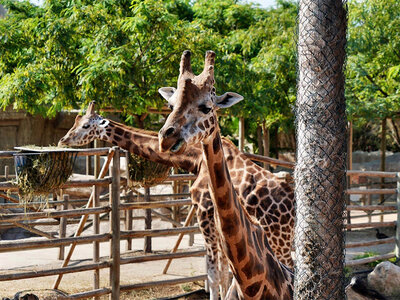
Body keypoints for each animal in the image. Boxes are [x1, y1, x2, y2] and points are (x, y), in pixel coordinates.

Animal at [58, 105, 294, 298]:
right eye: (75, 121)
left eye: (85, 125)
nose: (63, 140)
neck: (195, 159)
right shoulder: (220, 227)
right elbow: (224, 273)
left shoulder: (203, 212)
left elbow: (213, 274)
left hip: (279, 239)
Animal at [159, 50, 294, 298]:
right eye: (170, 106)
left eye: (206, 107)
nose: (166, 137)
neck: (252, 286)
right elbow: (217, 275)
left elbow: (215, 275)